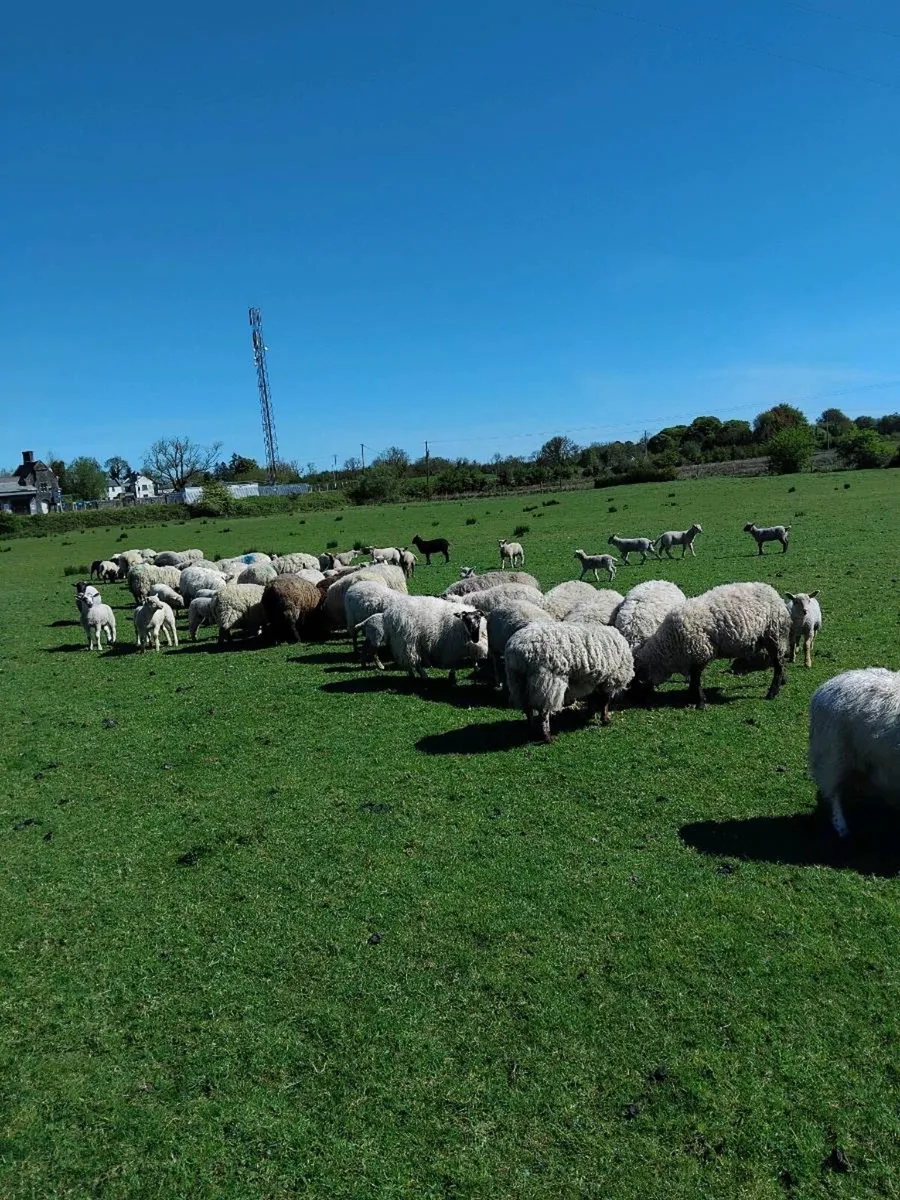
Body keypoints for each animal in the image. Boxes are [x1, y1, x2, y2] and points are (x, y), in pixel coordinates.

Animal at [505, 623, 635, 743]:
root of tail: (518, 650)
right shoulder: (609, 679)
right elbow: (604, 702)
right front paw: (605, 720)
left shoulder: (593, 680)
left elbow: (592, 698)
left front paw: (591, 714)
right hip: (547, 681)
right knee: (543, 712)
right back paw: (547, 737)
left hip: (518, 682)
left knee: (527, 708)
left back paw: (532, 730)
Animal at [633, 582, 790, 708]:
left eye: (637, 682)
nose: (639, 701)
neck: (669, 646)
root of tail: (773, 592)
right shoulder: (693, 656)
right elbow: (693, 679)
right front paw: (690, 697)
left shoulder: (699, 652)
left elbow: (696, 679)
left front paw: (700, 701)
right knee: (780, 662)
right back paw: (783, 681)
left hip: (774, 635)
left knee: (778, 665)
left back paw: (773, 692)